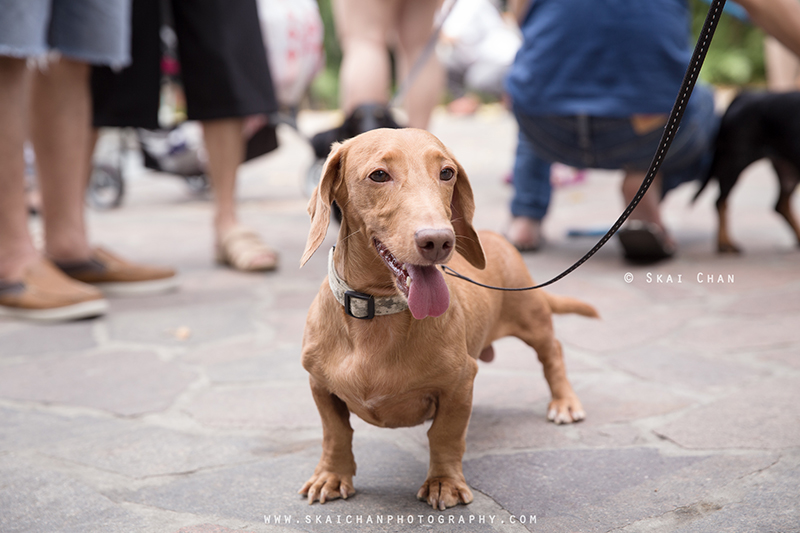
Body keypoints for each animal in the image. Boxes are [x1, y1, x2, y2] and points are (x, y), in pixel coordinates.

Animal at [298, 127, 592, 510]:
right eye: (379, 175)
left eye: (447, 173)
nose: (438, 241)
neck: (380, 310)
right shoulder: (320, 385)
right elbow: (335, 433)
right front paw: (331, 475)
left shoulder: (459, 383)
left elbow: (445, 435)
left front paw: (444, 482)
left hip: (532, 318)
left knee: (552, 352)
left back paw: (564, 402)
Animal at [692, 90, 800, 252]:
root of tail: (744, 95)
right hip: (733, 164)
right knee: (720, 202)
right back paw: (725, 243)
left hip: (788, 171)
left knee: (781, 205)